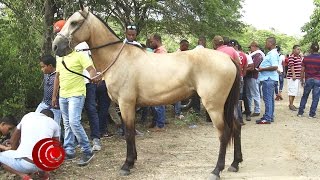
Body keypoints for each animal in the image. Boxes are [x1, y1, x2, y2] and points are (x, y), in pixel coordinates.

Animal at [52, 4, 242, 179]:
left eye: (74, 22)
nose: (55, 46)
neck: (118, 58)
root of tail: (228, 58)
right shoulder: (127, 106)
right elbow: (130, 131)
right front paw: (132, 160)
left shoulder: (126, 103)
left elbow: (129, 132)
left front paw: (126, 165)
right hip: (226, 105)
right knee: (236, 126)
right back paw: (235, 163)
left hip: (214, 106)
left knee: (224, 132)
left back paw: (217, 170)